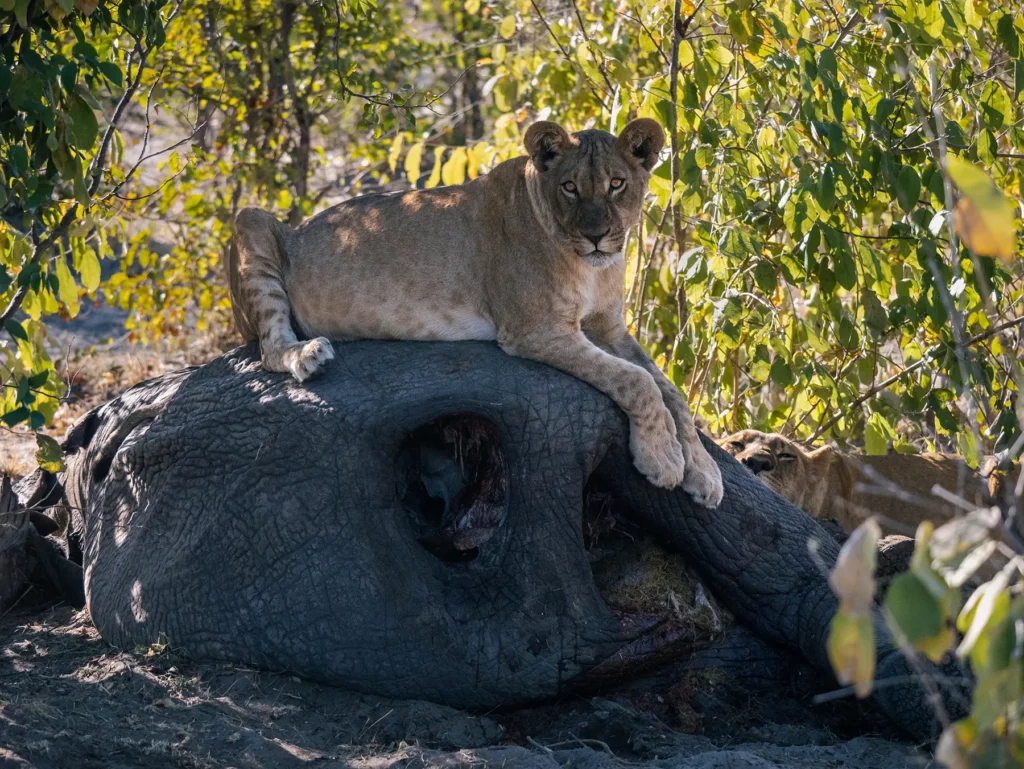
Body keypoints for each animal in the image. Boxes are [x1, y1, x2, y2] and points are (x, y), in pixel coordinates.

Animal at [227, 119, 723, 506]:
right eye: (570, 187)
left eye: (616, 185)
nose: (597, 236)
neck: (592, 268)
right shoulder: (535, 329)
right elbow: (636, 381)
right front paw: (662, 458)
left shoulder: (609, 329)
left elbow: (671, 390)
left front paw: (704, 473)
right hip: (252, 221)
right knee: (269, 348)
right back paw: (308, 354)